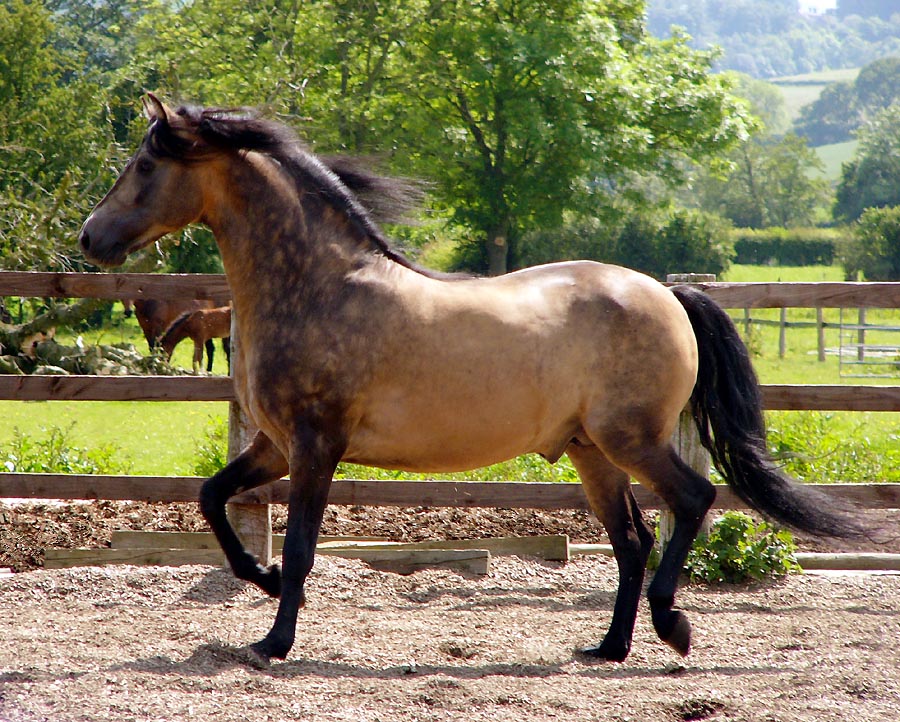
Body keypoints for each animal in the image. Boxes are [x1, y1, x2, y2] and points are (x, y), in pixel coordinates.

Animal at [79, 95, 864, 664]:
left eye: (144, 165)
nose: (91, 238)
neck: (319, 286)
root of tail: (668, 292)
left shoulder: (314, 444)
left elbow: (300, 545)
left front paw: (273, 642)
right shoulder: (273, 445)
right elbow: (211, 499)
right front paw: (261, 582)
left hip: (629, 437)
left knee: (693, 500)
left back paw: (672, 625)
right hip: (590, 450)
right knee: (632, 539)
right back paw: (606, 648)